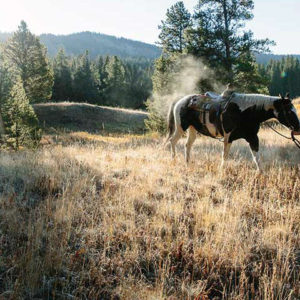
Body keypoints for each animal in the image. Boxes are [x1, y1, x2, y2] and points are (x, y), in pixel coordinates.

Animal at [165, 91, 300, 171]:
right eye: (289, 111)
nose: (297, 129)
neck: (245, 112)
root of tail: (181, 100)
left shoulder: (253, 138)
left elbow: (256, 157)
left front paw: (260, 173)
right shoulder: (228, 138)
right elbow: (225, 156)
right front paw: (222, 170)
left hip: (192, 129)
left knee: (188, 145)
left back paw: (187, 163)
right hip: (181, 127)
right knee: (173, 141)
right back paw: (173, 160)